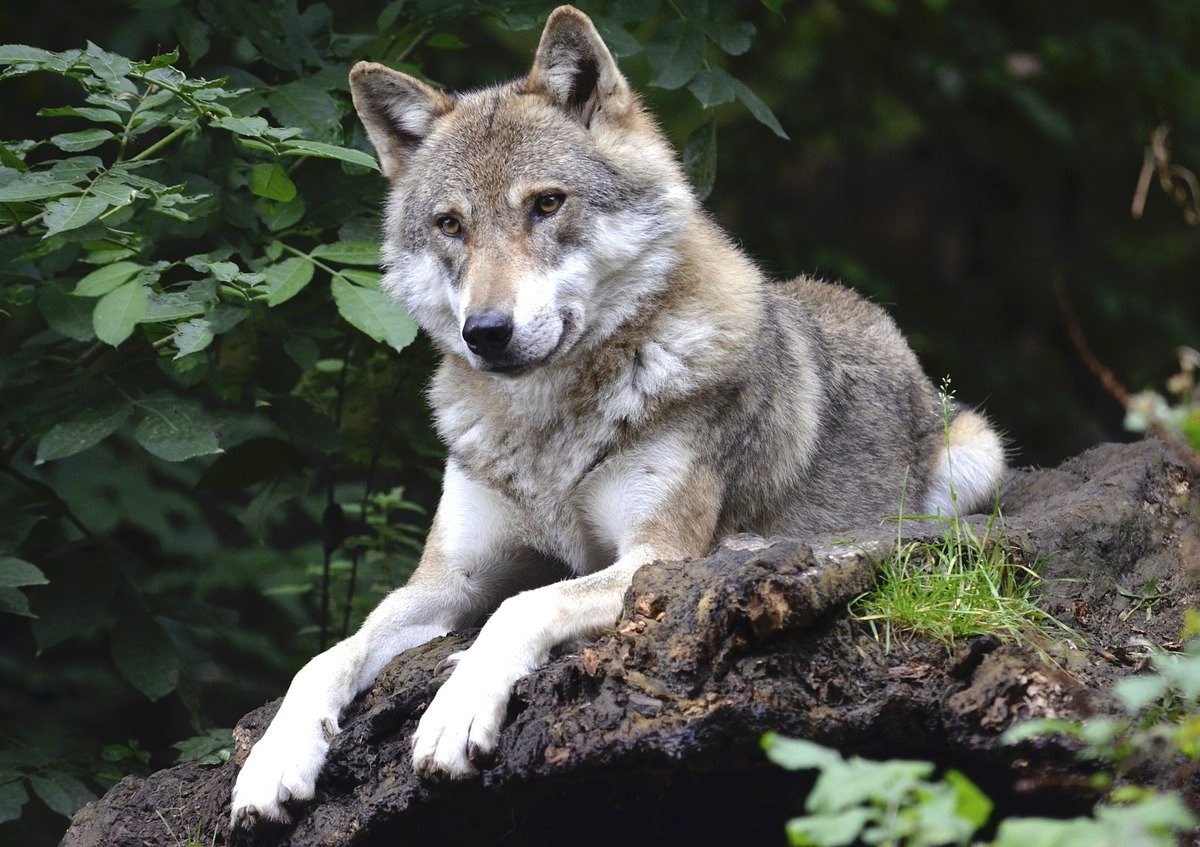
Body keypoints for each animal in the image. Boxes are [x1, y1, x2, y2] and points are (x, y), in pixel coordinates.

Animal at [229, 4, 1008, 825]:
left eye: (546, 203)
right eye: (450, 225)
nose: (486, 332)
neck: (546, 431)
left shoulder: (650, 557)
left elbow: (522, 606)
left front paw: (455, 710)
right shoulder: (446, 580)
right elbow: (327, 656)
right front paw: (273, 760)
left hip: (975, 457)